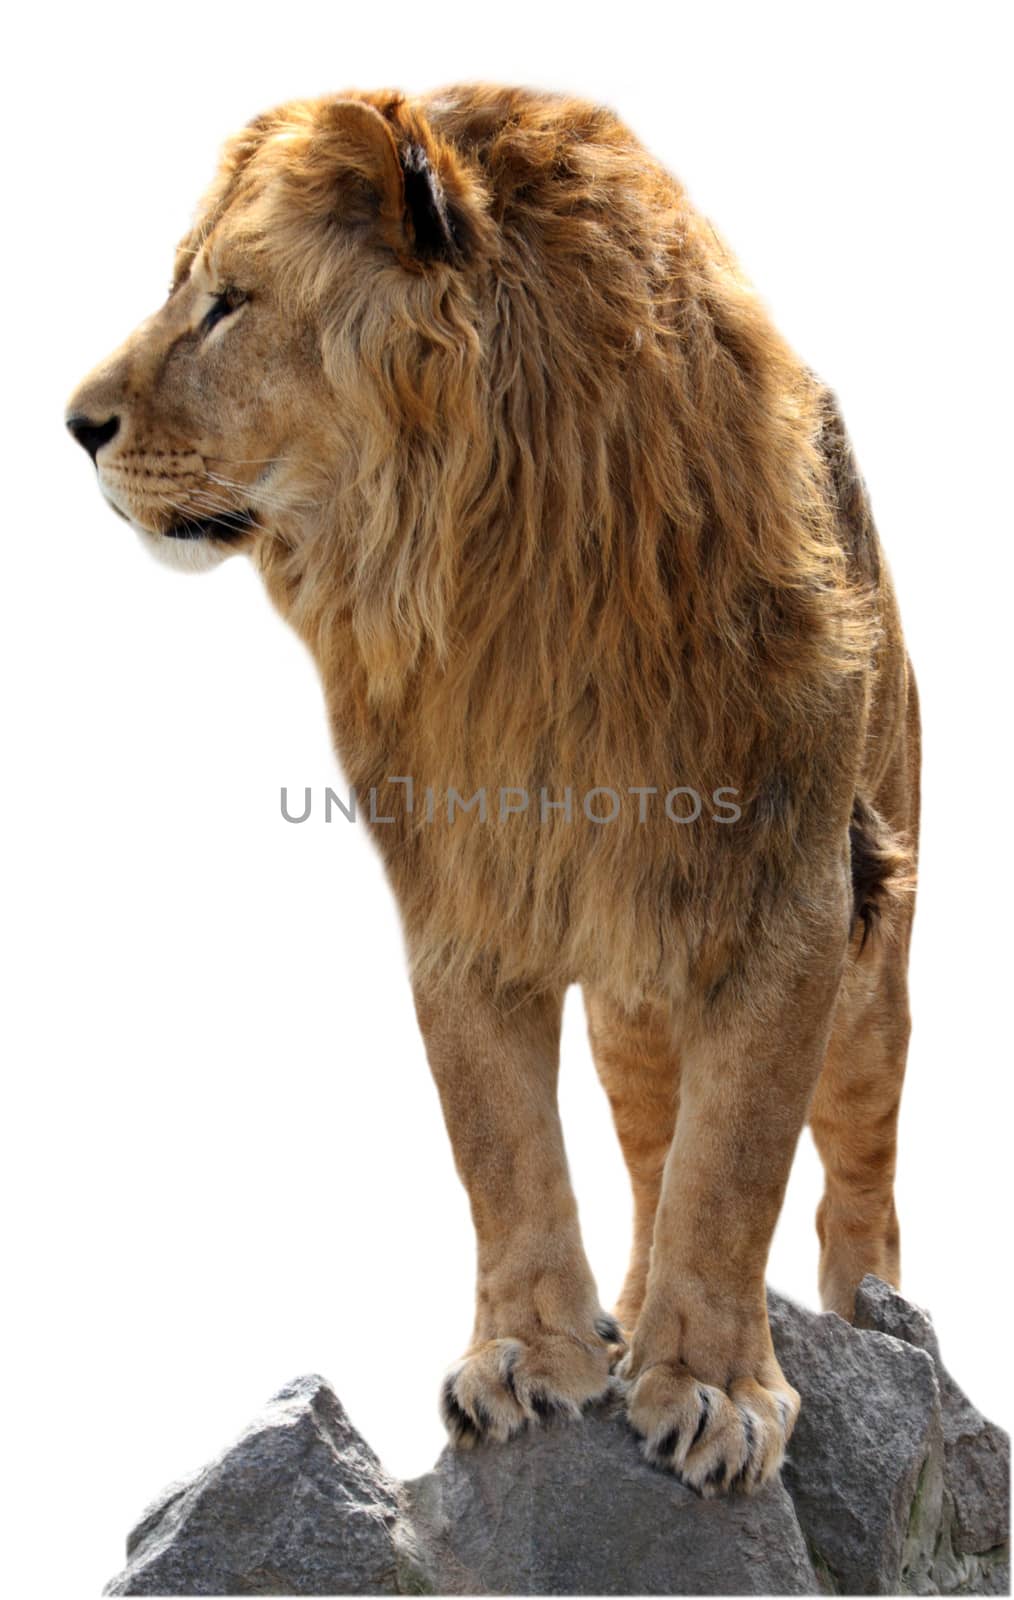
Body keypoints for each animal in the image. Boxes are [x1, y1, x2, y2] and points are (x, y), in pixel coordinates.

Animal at [65, 87, 914, 1491]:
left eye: (226, 302)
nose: (72, 426)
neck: (508, 578)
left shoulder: (785, 882)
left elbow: (739, 1159)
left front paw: (718, 1387)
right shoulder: (461, 893)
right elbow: (503, 1141)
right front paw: (530, 1355)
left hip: (874, 947)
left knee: (860, 1163)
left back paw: (880, 1320)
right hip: (637, 997)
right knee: (648, 1152)